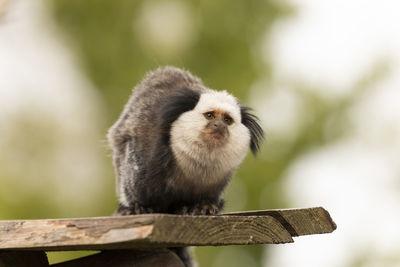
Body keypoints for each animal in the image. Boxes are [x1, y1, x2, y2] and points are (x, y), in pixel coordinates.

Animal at [107, 66, 262, 266]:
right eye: (210, 115)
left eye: (227, 120)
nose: (219, 125)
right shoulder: (145, 158)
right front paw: (135, 207)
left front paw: (203, 207)